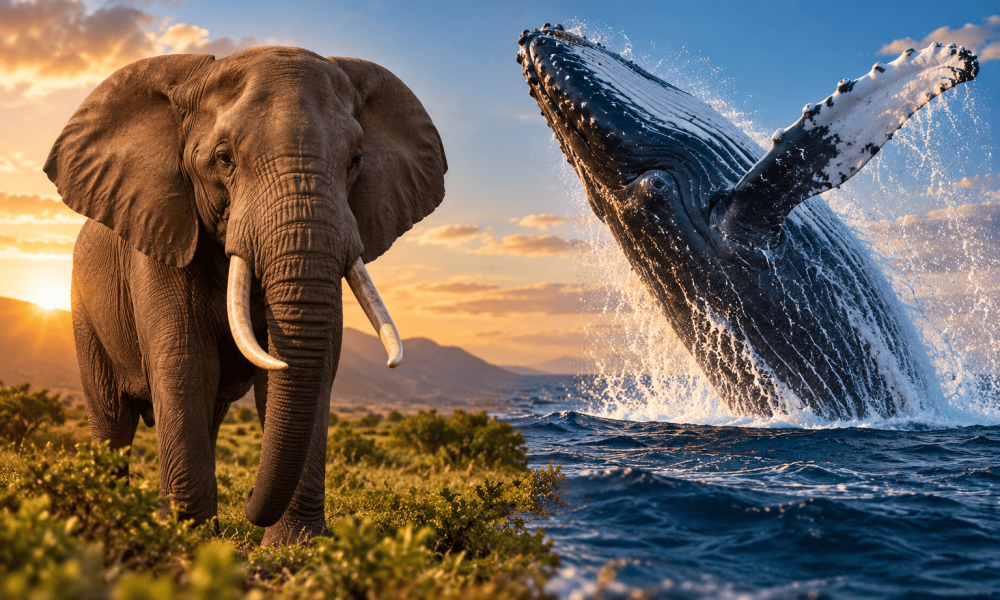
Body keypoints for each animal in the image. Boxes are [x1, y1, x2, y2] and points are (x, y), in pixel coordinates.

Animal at [44, 46, 447, 545]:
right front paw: (189, 542)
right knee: (112, 419)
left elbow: (306, 368)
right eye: (223, 158)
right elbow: (185, 361)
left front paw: (297, 547)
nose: (250, 499)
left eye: (355, 160)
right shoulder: (162, 232)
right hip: (83, 311)